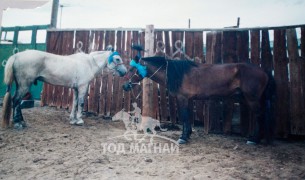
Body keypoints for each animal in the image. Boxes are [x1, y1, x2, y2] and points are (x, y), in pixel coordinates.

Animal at [122, 56, 274, 145]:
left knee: (260, 116)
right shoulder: (188, 100)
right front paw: (188, 134)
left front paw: (183, 137)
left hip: (253, 100)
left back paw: (254, 139)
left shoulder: (182, 98)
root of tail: (264, 71)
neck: (177, 73)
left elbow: (184, 116)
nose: (125, 86)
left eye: (132, 69)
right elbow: (188, 117)